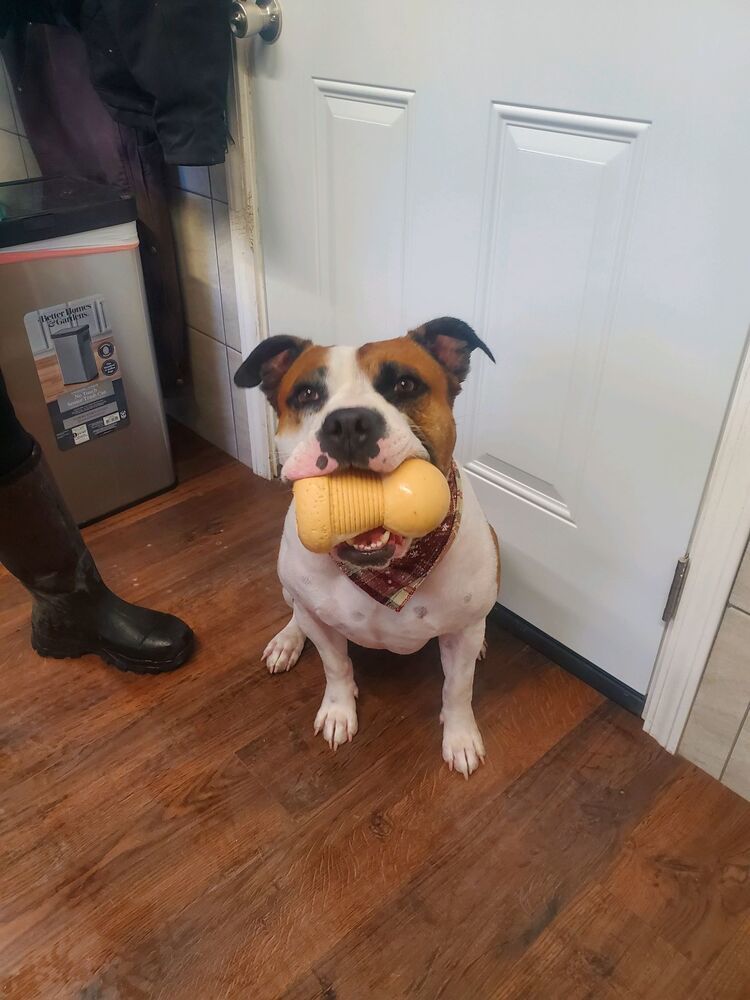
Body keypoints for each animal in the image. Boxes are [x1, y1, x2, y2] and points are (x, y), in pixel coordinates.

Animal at [235, 316, 502, 776]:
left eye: (405, 385)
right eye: (307, 394)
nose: (347, 423)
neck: (387, 575)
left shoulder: (462, 636)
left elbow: (458, 688)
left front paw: (461, 737)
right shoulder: (321, 624)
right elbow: (336, 666)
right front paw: (339, 712)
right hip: (290, 588)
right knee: (295, 612)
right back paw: (287, 641)